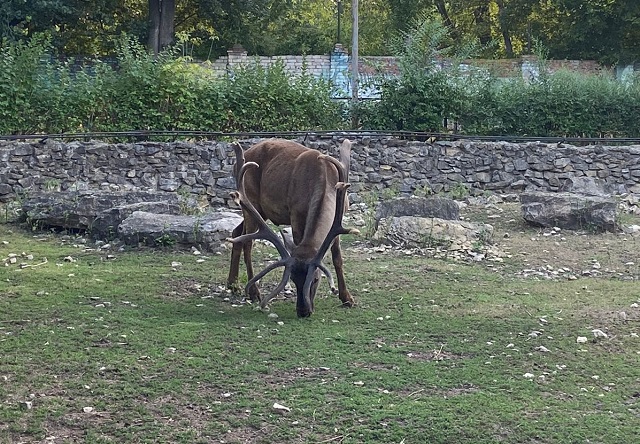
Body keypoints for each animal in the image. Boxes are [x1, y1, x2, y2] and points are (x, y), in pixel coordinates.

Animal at [226, 138, 360, 316]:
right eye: (293, 278)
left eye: (316, 278)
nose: (303, 311)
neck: (324, 180)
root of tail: (237, 163)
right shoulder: (296, 215)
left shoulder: (340, 216)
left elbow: (337, 257)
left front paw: (347, 298)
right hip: (251, 201)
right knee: (248, 242)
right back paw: (253, 291)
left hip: (260, 210)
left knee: (237, 233)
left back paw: (232, 284)